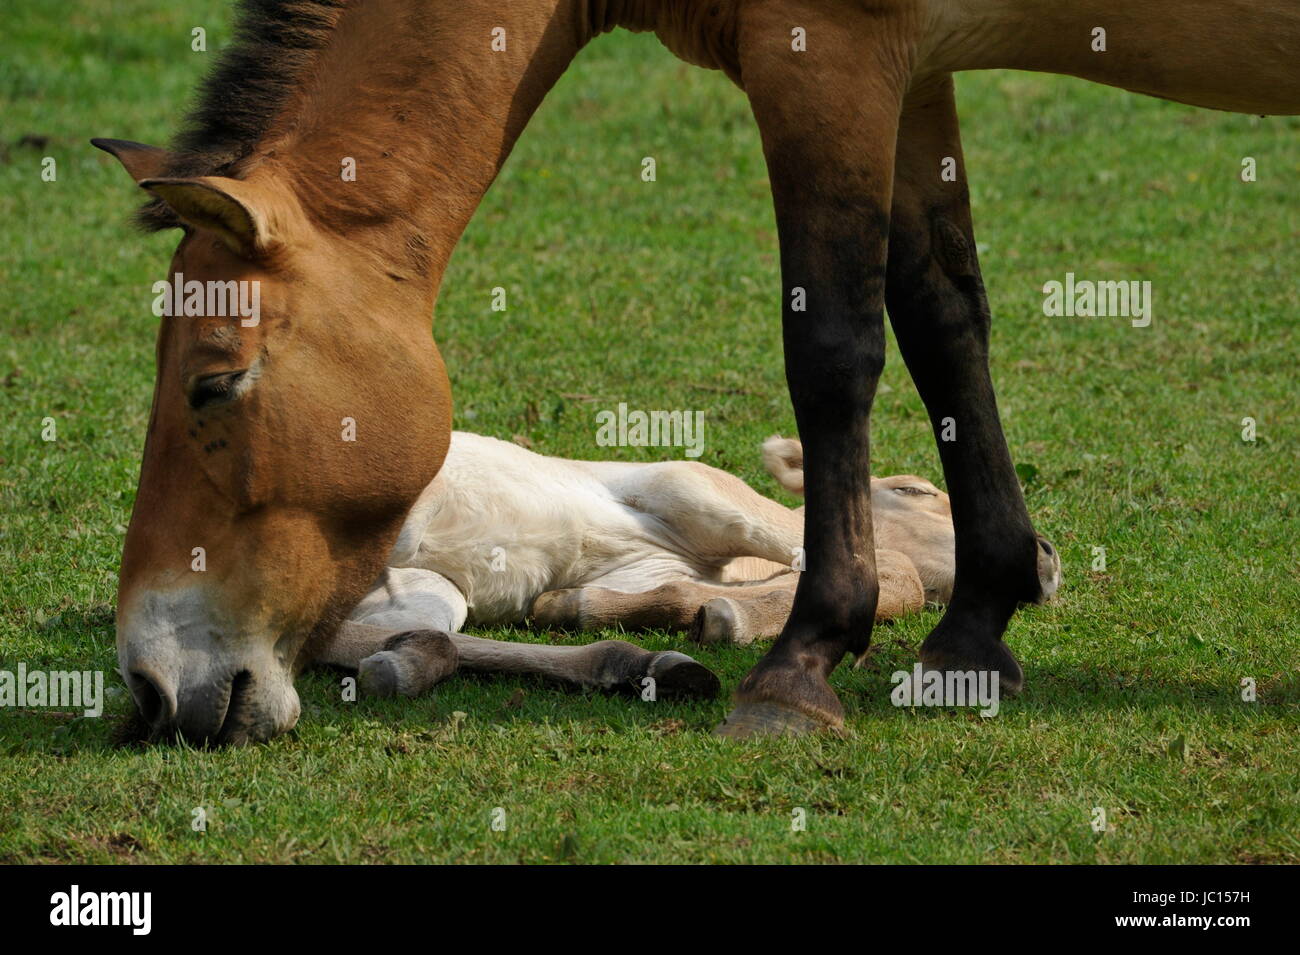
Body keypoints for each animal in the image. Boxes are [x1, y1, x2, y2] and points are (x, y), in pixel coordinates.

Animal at [95, 0, 1300, 742]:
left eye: (210, 382)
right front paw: (973, 632)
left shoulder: (828, 55)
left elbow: (834, 350)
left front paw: (802, 667)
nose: (151, 683)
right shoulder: (914, 70)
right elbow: (946, 321)